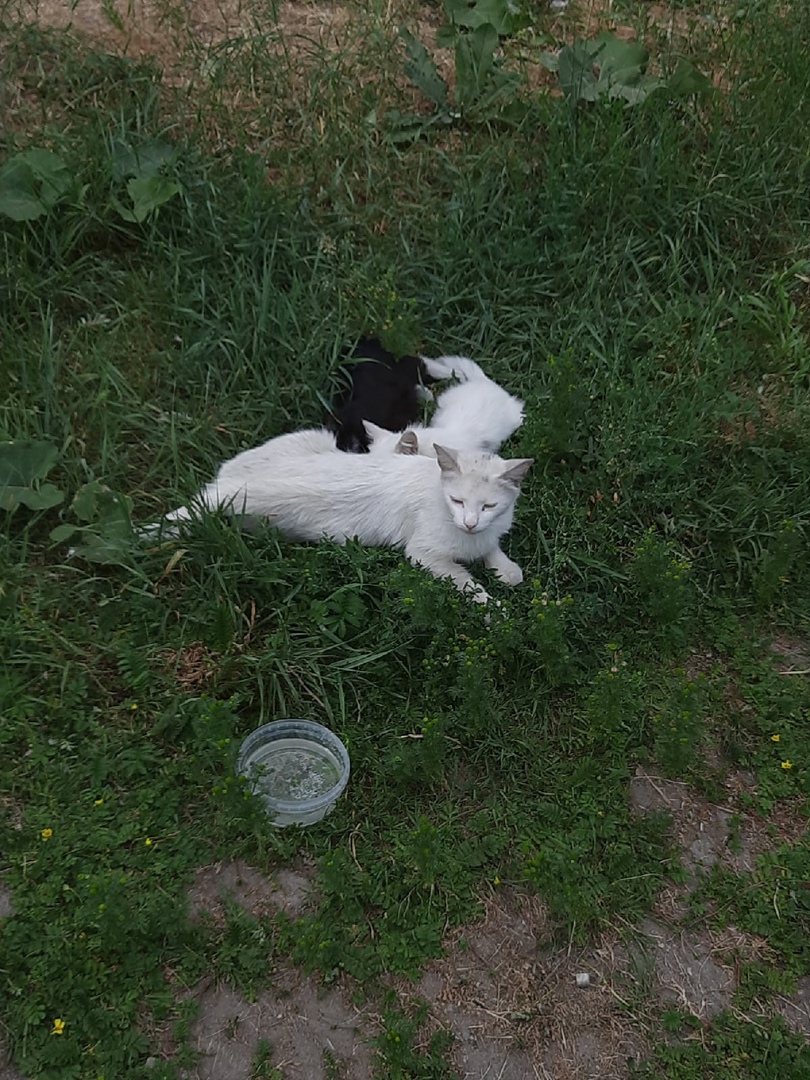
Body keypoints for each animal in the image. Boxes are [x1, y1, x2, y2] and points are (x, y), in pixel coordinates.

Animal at [160, 430, 533, 603]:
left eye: (488, 506)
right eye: (457, 501)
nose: (470, 522)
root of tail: (223, 483)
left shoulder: (487, 532)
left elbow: (499, 557)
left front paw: (506, 570)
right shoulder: (424, 555)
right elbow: (468, 584)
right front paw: (494, 610)